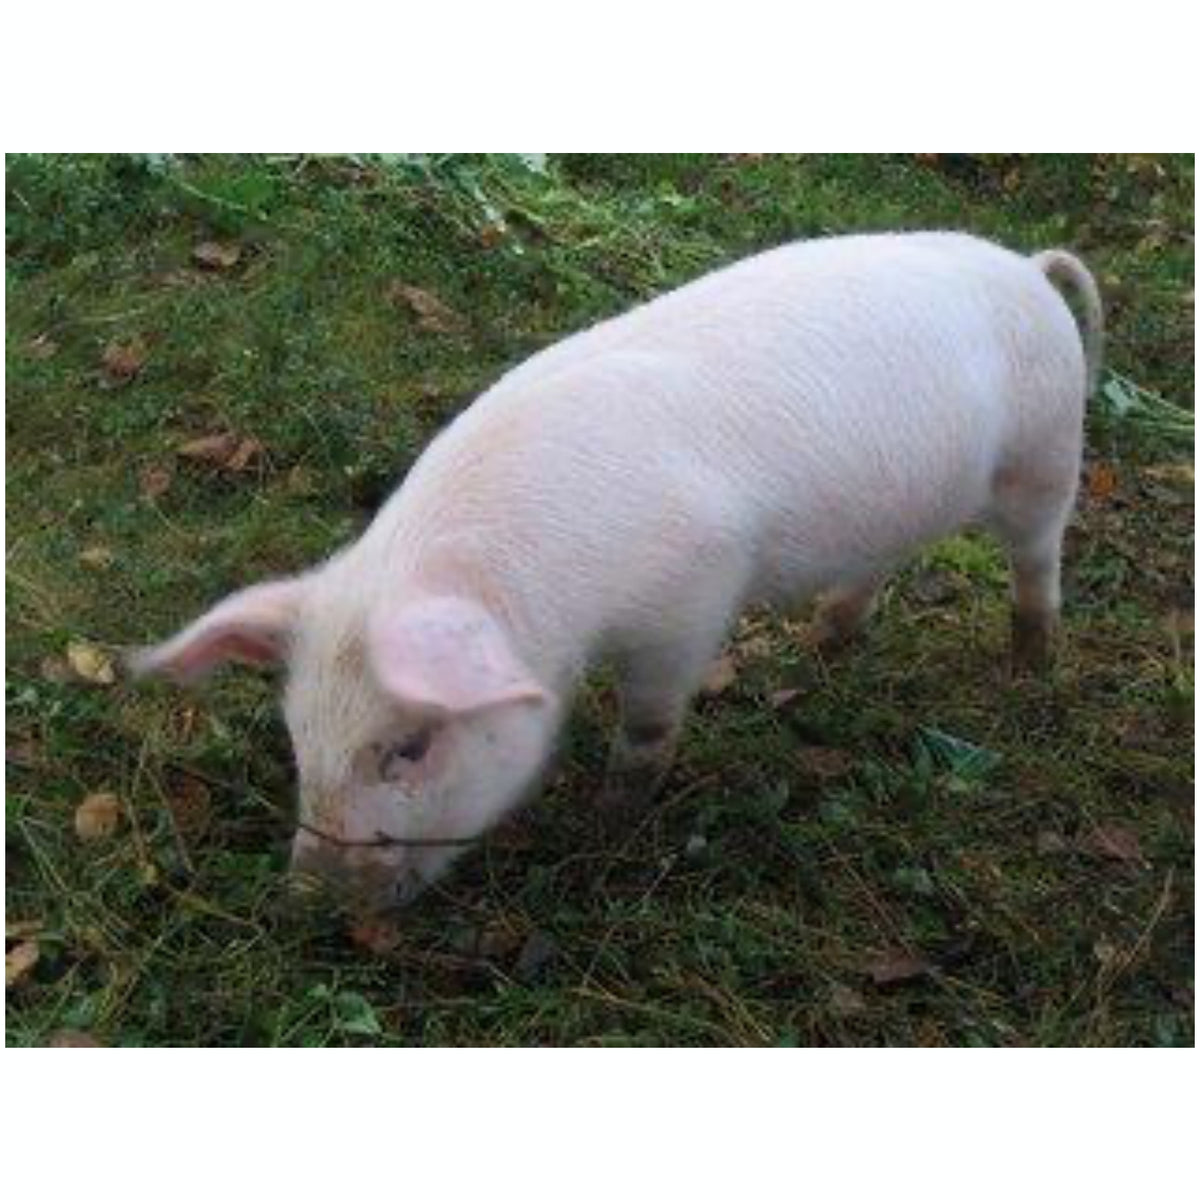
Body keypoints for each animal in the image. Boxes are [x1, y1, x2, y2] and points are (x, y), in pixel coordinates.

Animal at [133, 231, 1102, 910]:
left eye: (409, 747)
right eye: (298, 737)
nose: (308, 904)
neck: (555, 611)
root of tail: (1029, 266)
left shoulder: (694, 593)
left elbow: (647, 728)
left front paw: (608, 825)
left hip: (1047, 453)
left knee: (1038, 559)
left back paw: (1029, 667)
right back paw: (824, 647)